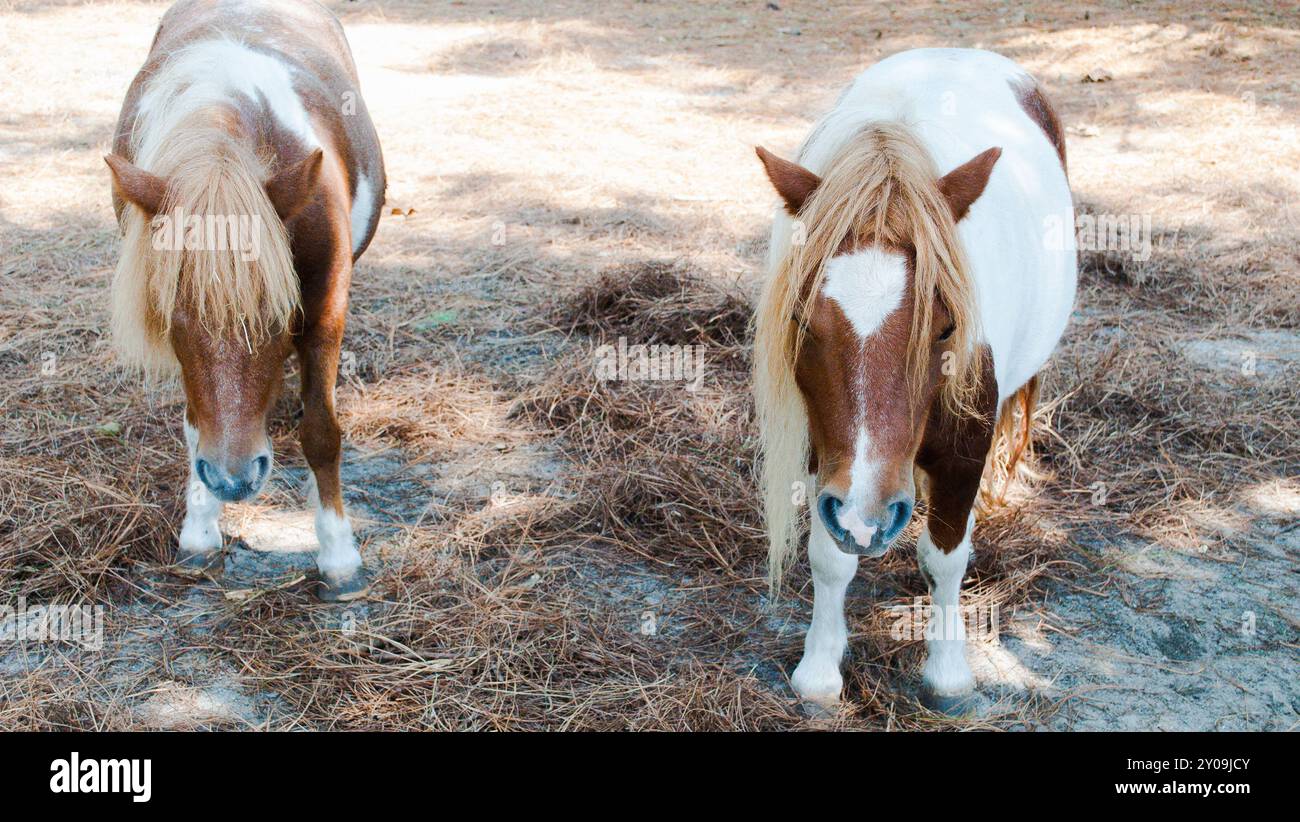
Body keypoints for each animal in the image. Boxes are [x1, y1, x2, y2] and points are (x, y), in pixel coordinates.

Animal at [107, 1, 382, 603]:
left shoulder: (326, 306)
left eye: (280, 317)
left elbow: (321, 432)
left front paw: (340, 559)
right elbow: (195, 425)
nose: (234, 480)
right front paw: (200, 531)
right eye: (173, 319)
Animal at [754, 48, 1076, 707]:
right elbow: (830, 557)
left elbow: (946, 556)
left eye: (947, 327)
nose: (870, 511)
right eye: (801, 319)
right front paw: (819, 670)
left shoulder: (963, 452)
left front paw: (948, 672)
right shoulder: (827, 455)